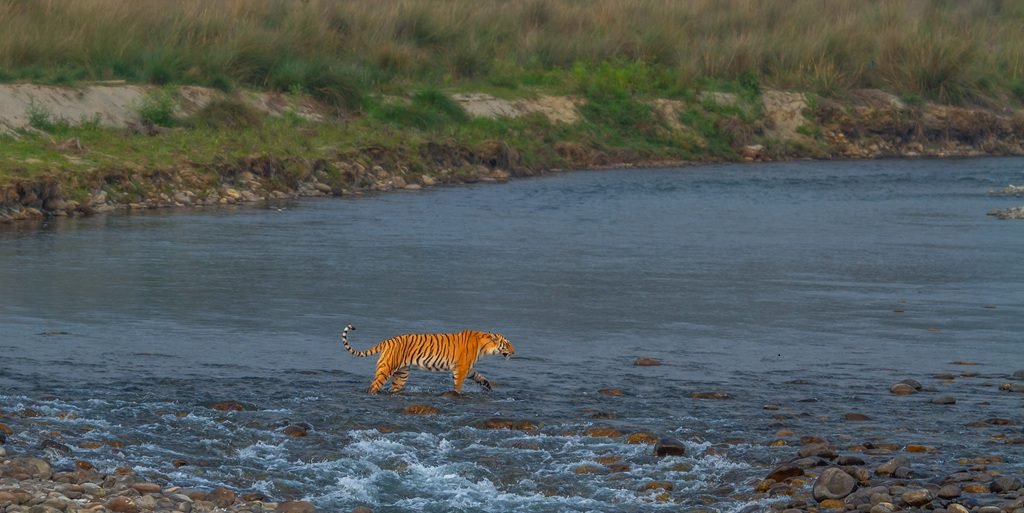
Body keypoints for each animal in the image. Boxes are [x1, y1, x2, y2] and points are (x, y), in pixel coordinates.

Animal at [340, 324, 515, 394]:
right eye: (507, 343)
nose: (514, 352)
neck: (484, 346)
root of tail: (388, 340)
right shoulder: (461, 368)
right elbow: (458, 386)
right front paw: (457, 394)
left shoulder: (468, 368)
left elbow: (480, 376)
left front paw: (488, 386)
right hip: (386, 368)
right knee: (373, 386)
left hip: (401, 374)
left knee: (394, 388)